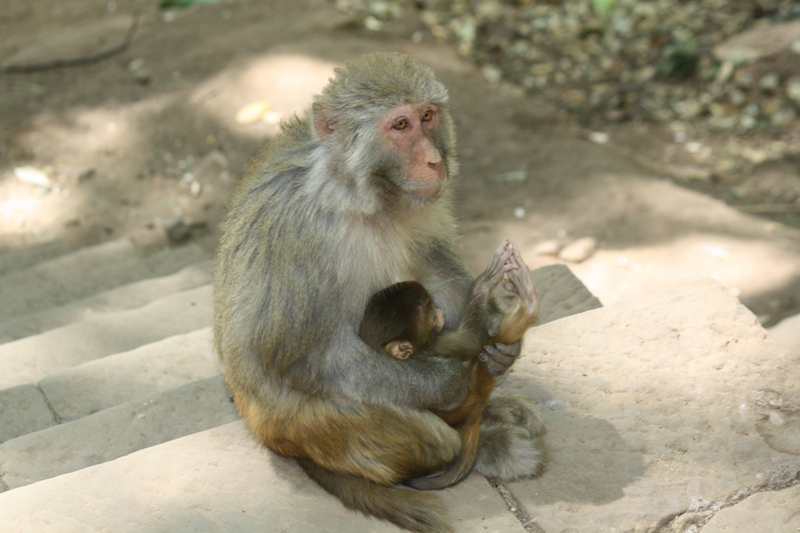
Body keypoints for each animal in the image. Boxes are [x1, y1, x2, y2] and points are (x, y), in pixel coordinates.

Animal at [214, 52, 544, 528]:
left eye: (427, 116)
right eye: (400, 125)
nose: (434, 161)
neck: (364, 195)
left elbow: (434, 265)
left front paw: (496, 330)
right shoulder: (294, 229)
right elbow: (299, 358)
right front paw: (452, 380)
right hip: (312, 433)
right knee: (402, 422)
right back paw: (477, 437)